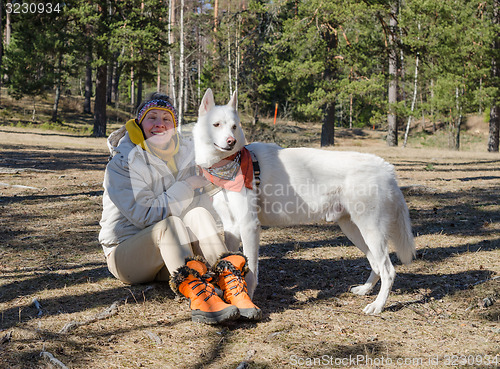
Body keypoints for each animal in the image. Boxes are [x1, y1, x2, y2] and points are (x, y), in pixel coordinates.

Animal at [193, 89, 416, 314]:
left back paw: (378, 305)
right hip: (354, 231)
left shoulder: (249, 226)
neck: (228, 166)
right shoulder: (230, 227)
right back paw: (365, 290)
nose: (231, 141)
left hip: (371, 232)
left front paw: (248, 298)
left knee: (388, 270)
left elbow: (252, 271)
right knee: (376, 264)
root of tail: (387, 168)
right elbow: (229, 261)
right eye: (216, 125)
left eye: (234, 126)